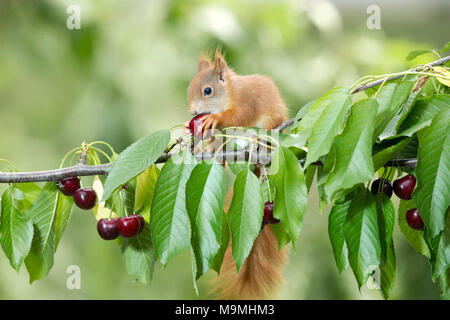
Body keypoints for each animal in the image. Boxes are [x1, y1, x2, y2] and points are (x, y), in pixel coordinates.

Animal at [187, 50, 288, 300]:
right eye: (189, 88)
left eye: (207, 90)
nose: (193, 112)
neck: (230, 93)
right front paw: (207, 148)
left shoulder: (246, 101)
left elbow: (238, 115)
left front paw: (215, 118)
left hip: (271, 124)